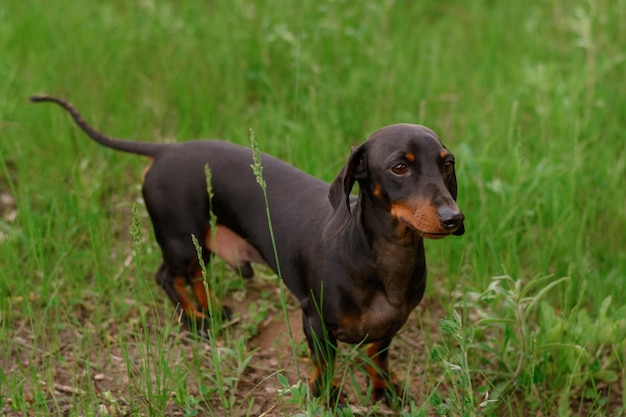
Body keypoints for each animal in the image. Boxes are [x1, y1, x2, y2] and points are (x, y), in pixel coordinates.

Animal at [31, 94, 460, 404]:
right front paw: (328, 397)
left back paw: (214, 312)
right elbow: (324, 365)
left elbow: (377, 357)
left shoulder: (391, 324)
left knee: (195, 276)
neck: (380, 256)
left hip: (200, 241)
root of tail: (166, 151)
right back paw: (196, 322)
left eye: (447, 163)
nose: (454, 218)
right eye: (399, 167)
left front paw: (386, 390)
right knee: (167, 276)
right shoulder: (314, 321)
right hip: (178, 240)